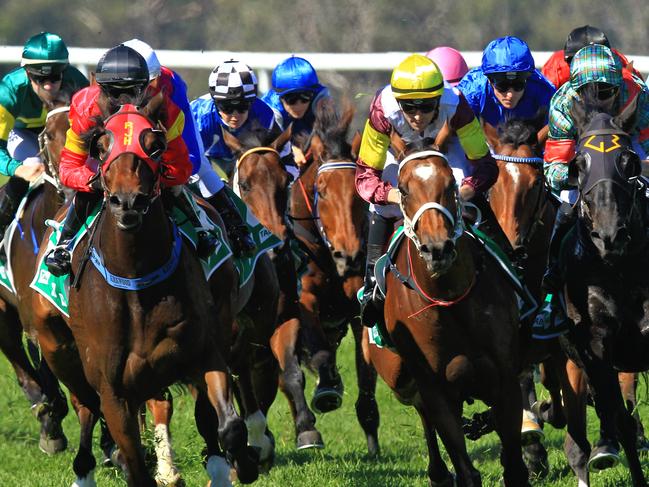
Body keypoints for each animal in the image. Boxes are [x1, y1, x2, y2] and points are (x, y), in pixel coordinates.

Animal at [30, 96, 258, 487]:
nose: (128, 202)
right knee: (84, 406)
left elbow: (229, 425)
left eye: (155, 145)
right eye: (100, 146)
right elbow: (133, 460)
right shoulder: (113, 390)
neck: (135, 281)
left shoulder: (204, 351)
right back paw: (84, 468)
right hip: (58, 348)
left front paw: (242, 463)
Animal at [286, 104, 378, 458]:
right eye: (322, 191)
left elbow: (366, 371)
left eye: (359, 193)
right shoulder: (304, 299)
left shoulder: (359, 306)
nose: (348, 255)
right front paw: (326, 390)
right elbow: (320, 354)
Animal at [368, 142, 528, 487]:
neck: (450, 300)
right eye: (403, 190)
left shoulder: (506, 379)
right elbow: (465, 468)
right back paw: (439, 473)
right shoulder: (436, 390)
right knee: (421, 412)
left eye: (451, 185)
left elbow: (514, 466)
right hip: (397, 375)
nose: (437, 248)